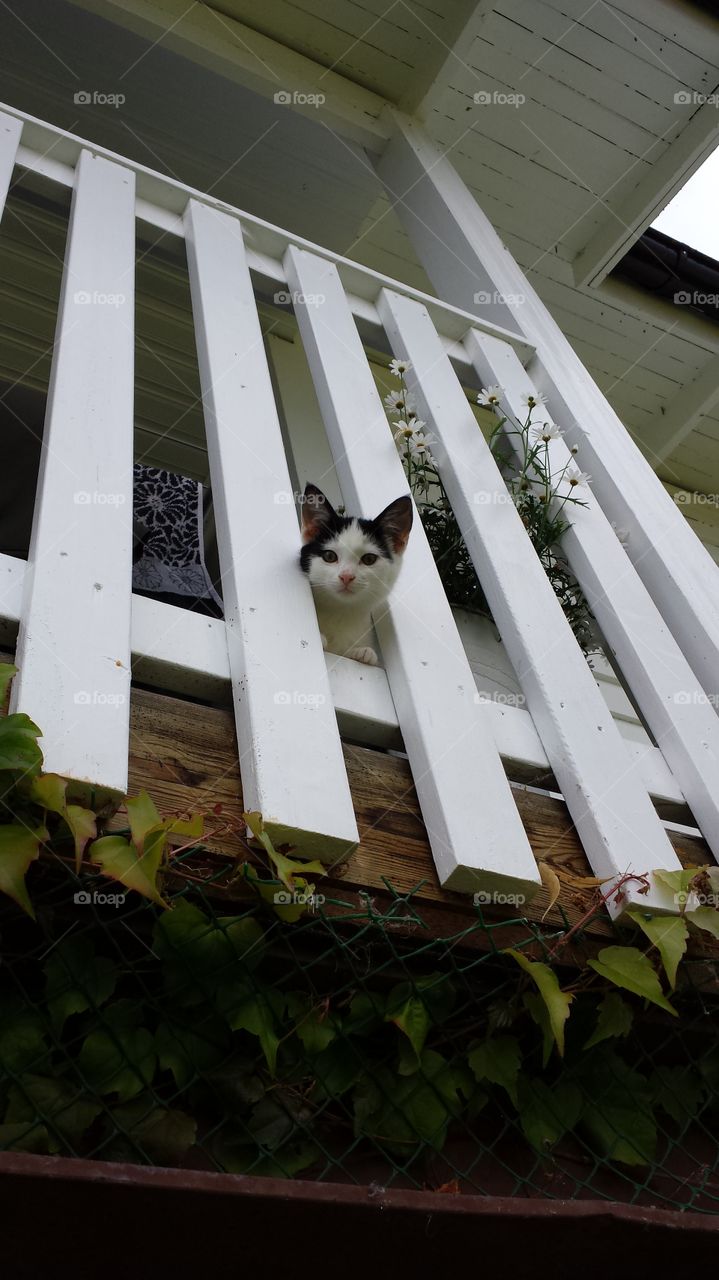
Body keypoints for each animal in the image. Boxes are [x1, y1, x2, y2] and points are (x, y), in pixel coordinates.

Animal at [299, 481, 411, 660]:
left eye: (369, 559)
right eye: (329, 556)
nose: (346, 576)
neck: (340, 612)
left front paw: (362, 652)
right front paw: (321, 639)